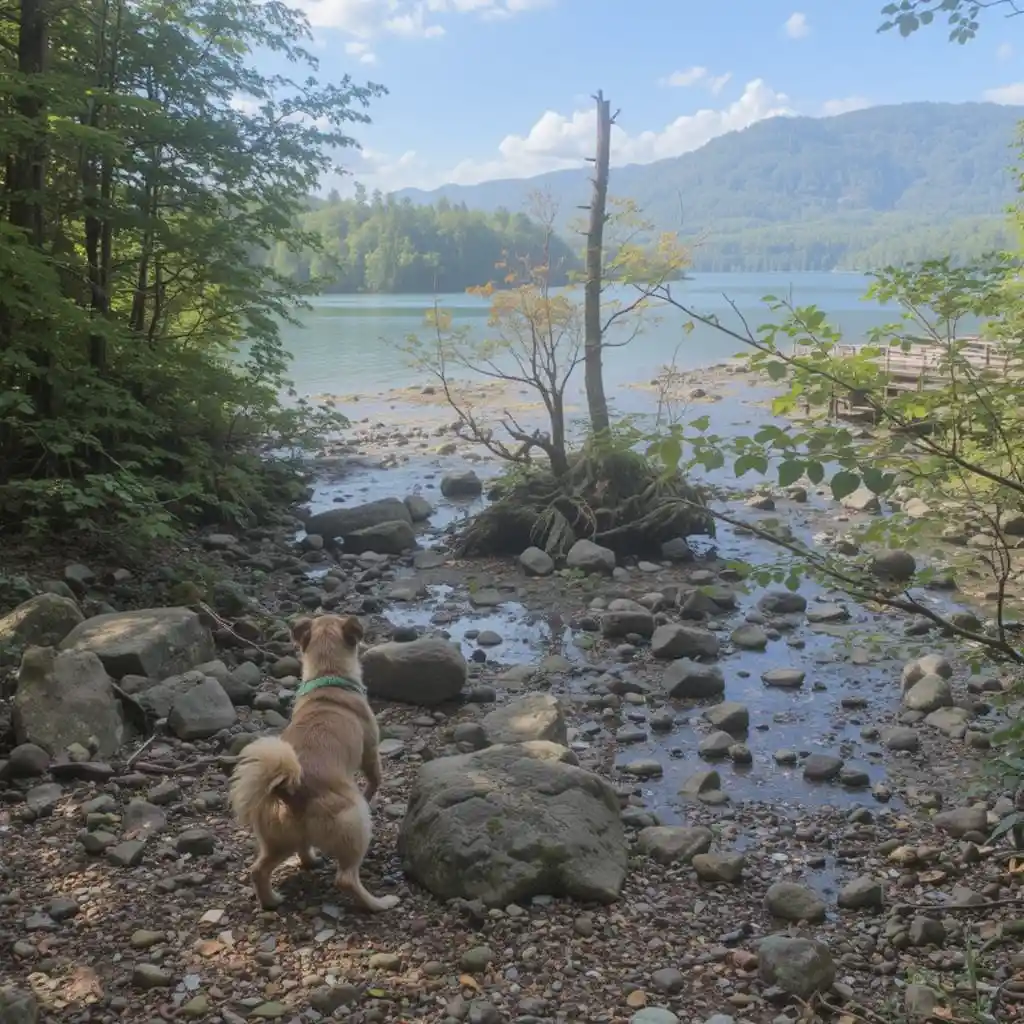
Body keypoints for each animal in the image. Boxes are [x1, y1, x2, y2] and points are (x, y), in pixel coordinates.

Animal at [228, 613, 398, 912]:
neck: (328, 677)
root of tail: (290, 790)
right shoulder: (370, 751)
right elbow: (375, 779)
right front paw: (370, 792)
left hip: (277, 842)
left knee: (262, 868)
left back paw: (275, 895)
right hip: (355, 824)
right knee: (346, 878)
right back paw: (378, 903)